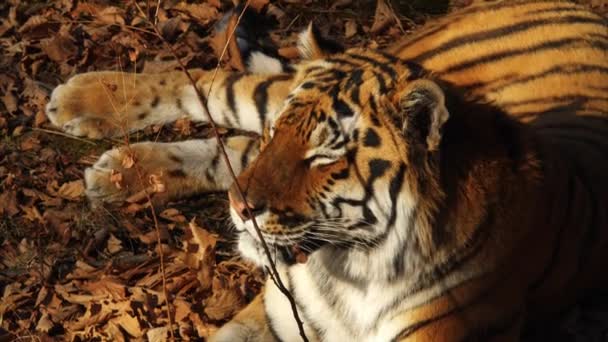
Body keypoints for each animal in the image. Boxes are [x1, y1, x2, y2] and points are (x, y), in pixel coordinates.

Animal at [45, 1, 608, 340]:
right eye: (281, 133)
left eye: (323, 157)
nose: (239, 208)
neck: (352, 275)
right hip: (263, 95)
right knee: (207, 83)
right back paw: (79, 101)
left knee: (231, 149)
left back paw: (117, 173)